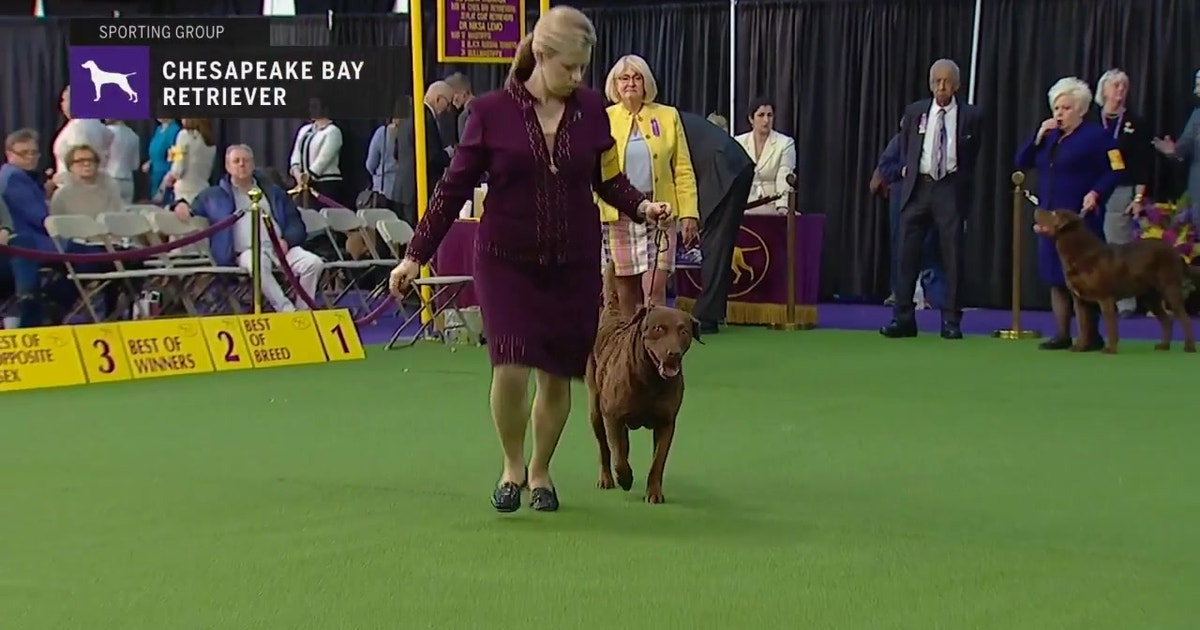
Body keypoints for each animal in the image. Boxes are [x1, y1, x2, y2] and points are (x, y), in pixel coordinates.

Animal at [585, 262, 700, 504]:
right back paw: (607, 478)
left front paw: (654, 493)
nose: (673, 353)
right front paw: (625, 478)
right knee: (605, 448)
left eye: (683, 331)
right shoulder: (612, 416)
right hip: (595, 410)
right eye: (659, 328)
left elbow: (658, 462)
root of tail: (611, 315)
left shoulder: (666, 423)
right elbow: (617, 456)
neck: (650, 380)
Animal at [1036, 207, 1195, 350]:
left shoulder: (1105, 297)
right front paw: (1080, 347)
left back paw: (1189, 347)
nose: (1037, 209)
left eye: (1054, 213)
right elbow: (1082, 325)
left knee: (1185, 319)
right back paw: (1164, 345)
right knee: (1167, 320)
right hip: (1150, 297)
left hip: (1170, 288)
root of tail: (1175, 252)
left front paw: (1110, 349)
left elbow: (1110, 324)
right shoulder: (1079, 300)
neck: (1080, 253)